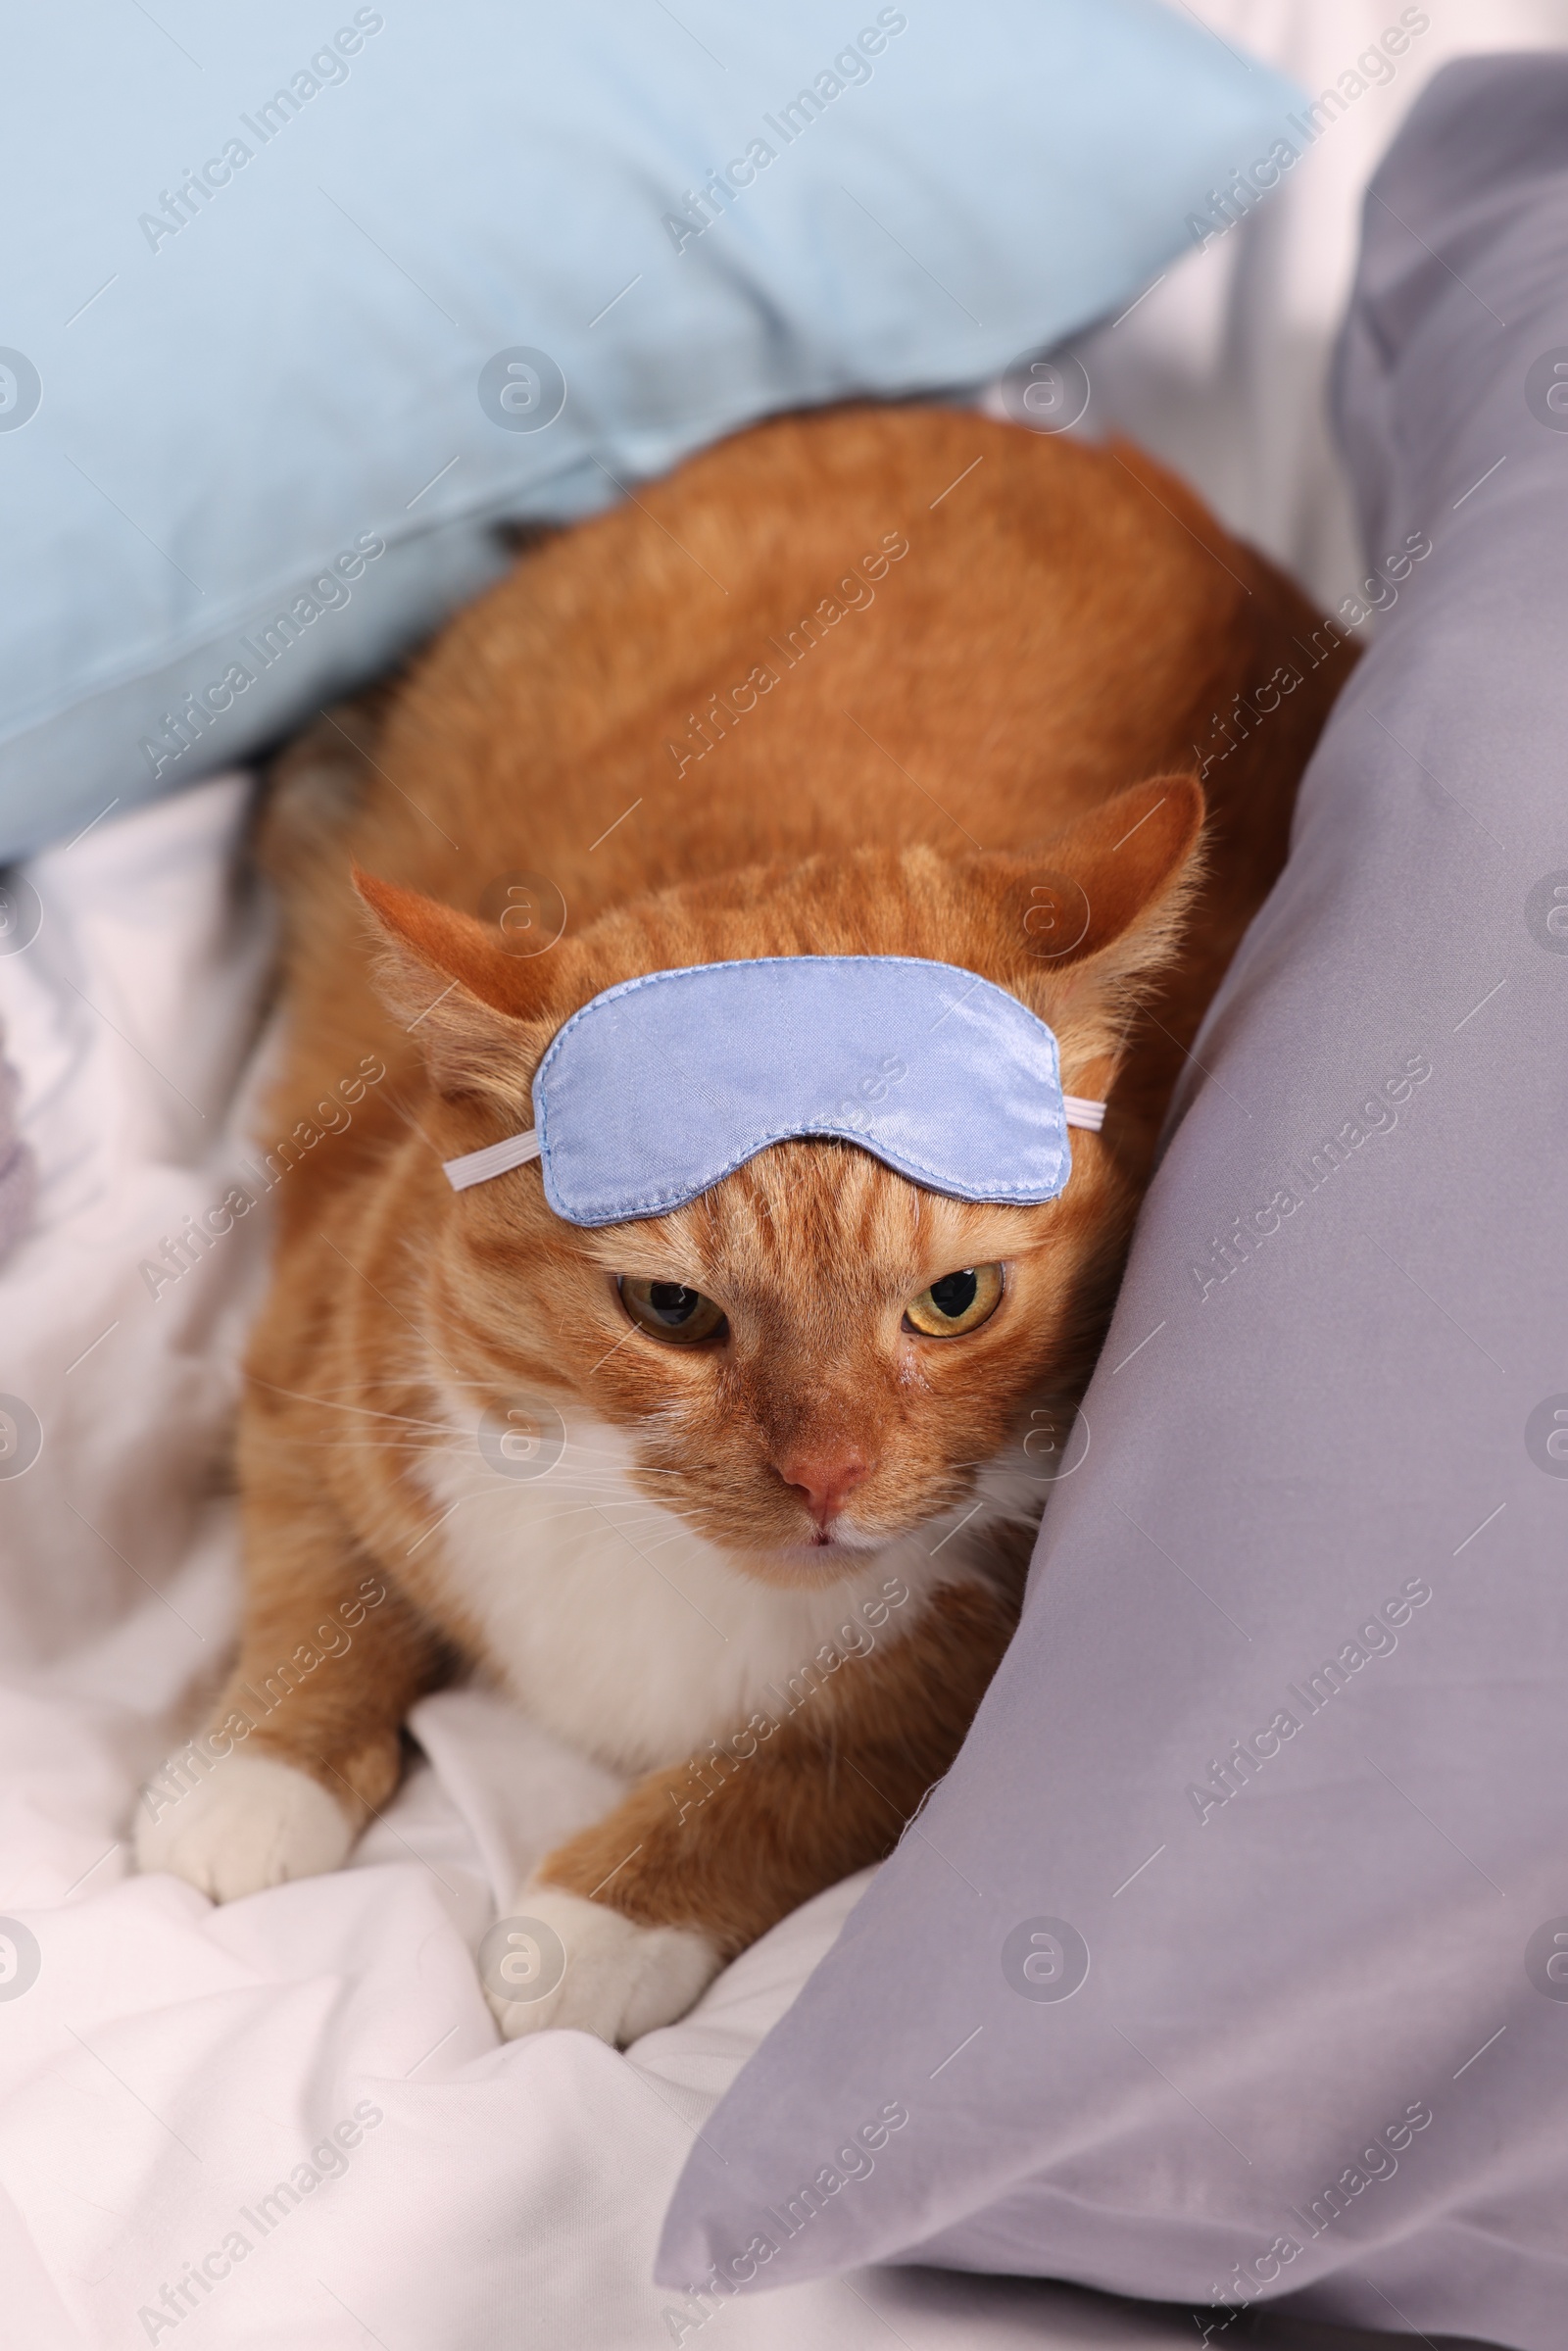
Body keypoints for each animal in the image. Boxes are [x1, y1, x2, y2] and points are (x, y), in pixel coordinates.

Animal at [134, 399, 1353, 2040]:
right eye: (673, 1310)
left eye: (956, 1299)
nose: (828, 1478)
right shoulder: (315, 1343)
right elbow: (316, 1574)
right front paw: (253, 1772)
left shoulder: (977, 1648)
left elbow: (803, 1759)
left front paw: (600, 1915)